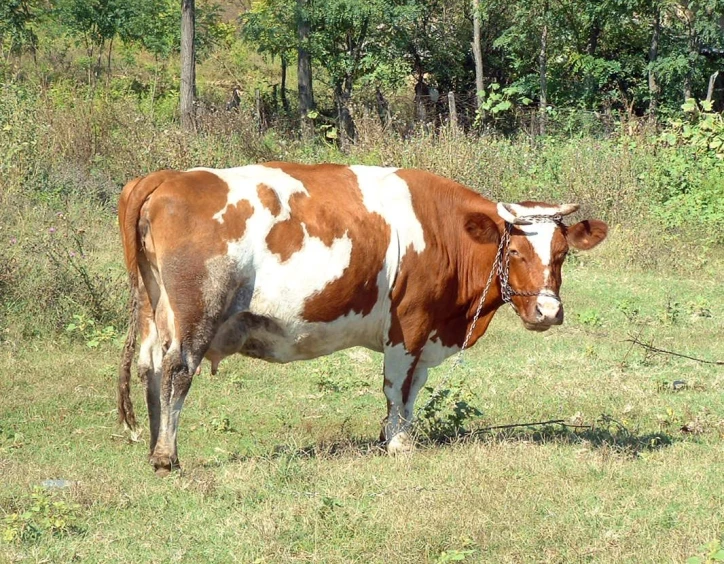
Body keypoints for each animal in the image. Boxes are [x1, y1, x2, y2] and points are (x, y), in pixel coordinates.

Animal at [117, 161, 604, 474]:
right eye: (516, 251)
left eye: (562, 253)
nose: (548, 311)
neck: (445, 230)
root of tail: (169, 177)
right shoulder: (409, 324)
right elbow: (395, 388)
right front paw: (398, 444)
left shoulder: (424, 336)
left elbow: (412, 391)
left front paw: (396, 437)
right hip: (196, 312)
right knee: (178, 370)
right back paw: (166, 456)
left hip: (154, 309)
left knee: (151, 368)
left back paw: (154, 444)